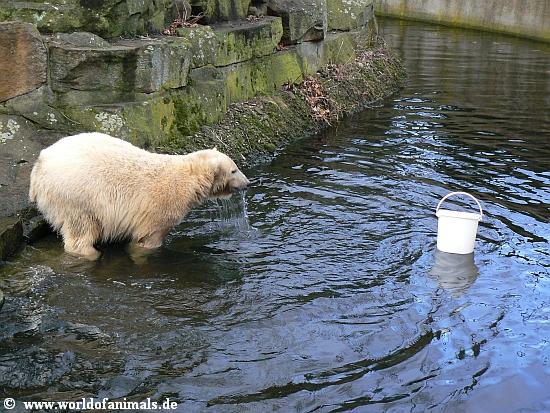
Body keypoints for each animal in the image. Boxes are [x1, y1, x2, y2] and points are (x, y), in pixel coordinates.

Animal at [29, 132, 250, 260]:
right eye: (234, 170)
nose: (247, 183)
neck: (188, 178)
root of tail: (39, 166)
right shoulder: (160, 208)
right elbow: (148, 238)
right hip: (77, 196)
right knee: (81, 229)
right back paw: (92, 252)